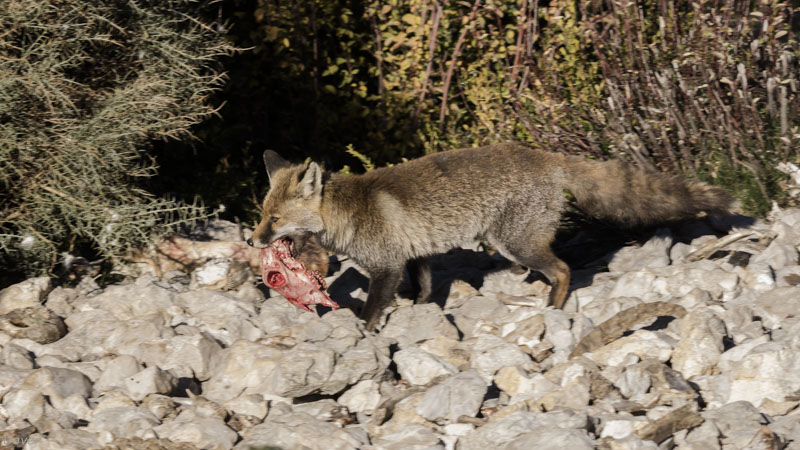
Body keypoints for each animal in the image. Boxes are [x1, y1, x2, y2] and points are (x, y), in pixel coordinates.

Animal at [247, 144, 736, 330]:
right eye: (261, 216)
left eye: (274, 219)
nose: (252, 242)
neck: (347, 214)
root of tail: (549, 156)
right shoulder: (414, 254)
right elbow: (425, 288)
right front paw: (422, 313)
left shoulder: (386, 265)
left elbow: (370, 311)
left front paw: (365, 335)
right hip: (514, 243)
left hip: (515, 242)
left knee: (562, 269)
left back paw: (551, 309)